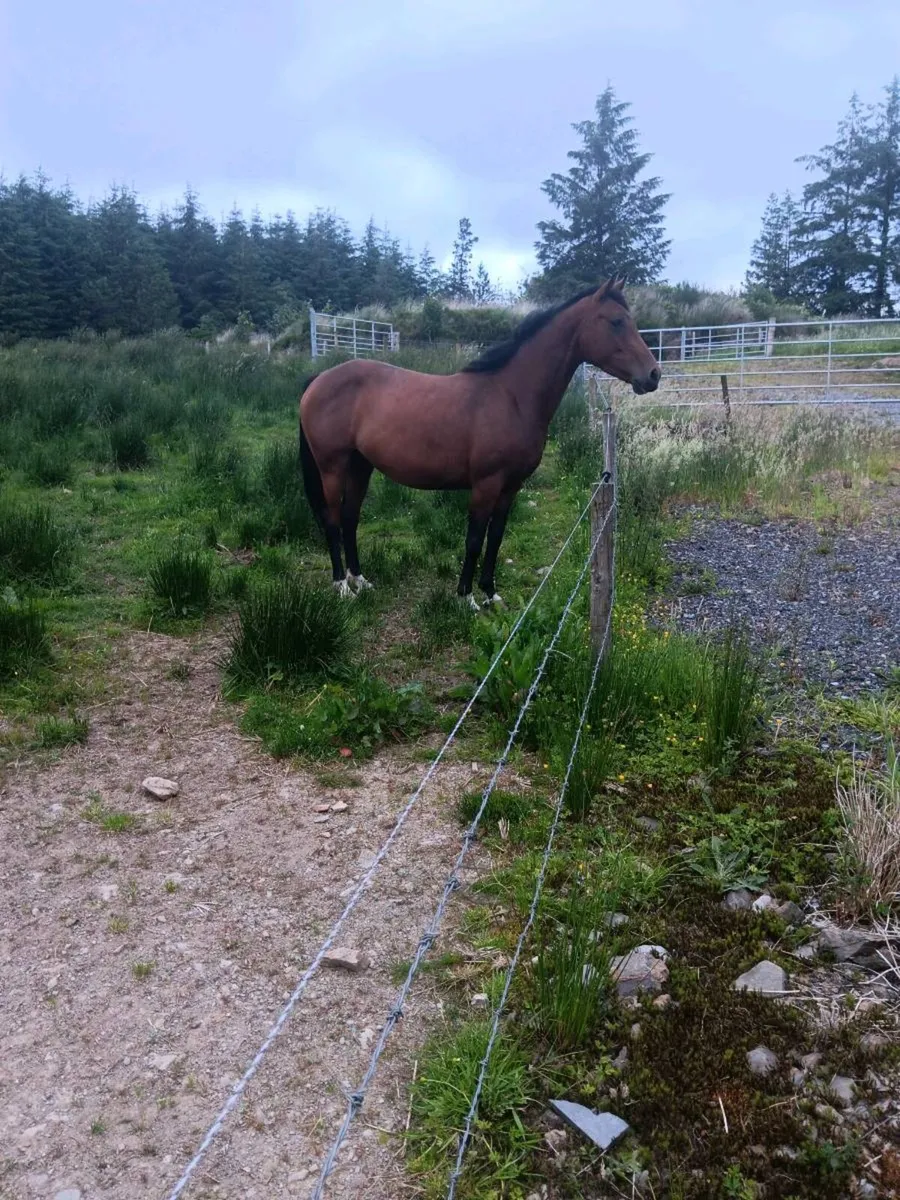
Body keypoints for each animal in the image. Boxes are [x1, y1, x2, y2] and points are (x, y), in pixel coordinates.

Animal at [298, 278, 660, 607]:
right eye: (616, 321)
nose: (654, 375)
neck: (512, 396)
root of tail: (319, 379)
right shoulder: (486, 485)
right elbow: (474, 539)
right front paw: (466, 597)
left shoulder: (511, 486)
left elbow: (496, 537)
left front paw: (490, 593)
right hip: (332, 467)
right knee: (332, 519)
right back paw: (341, 587)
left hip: (360, 465)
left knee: (350, 518)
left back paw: (359, 580)